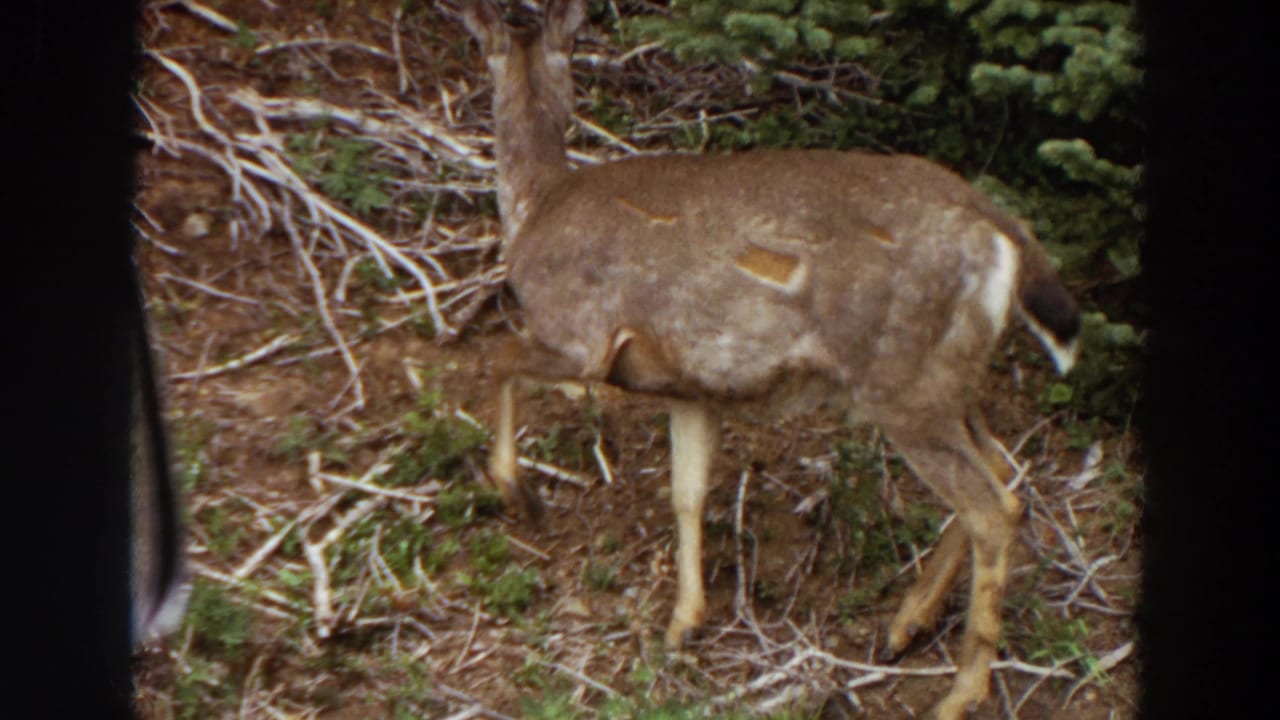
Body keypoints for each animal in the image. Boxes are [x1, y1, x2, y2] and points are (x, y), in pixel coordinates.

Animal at [457, 1, 1080, 717]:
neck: (537, 208)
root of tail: (1004, 233)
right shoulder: (688, 387)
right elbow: (687, 493)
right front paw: (684, 623)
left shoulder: (579, 333)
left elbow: (498, 357)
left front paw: (518, 493)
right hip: (950, 377)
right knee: (1005, 470)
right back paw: (906, 623)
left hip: (904, 383)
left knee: (990, 505)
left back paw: (960, 691)